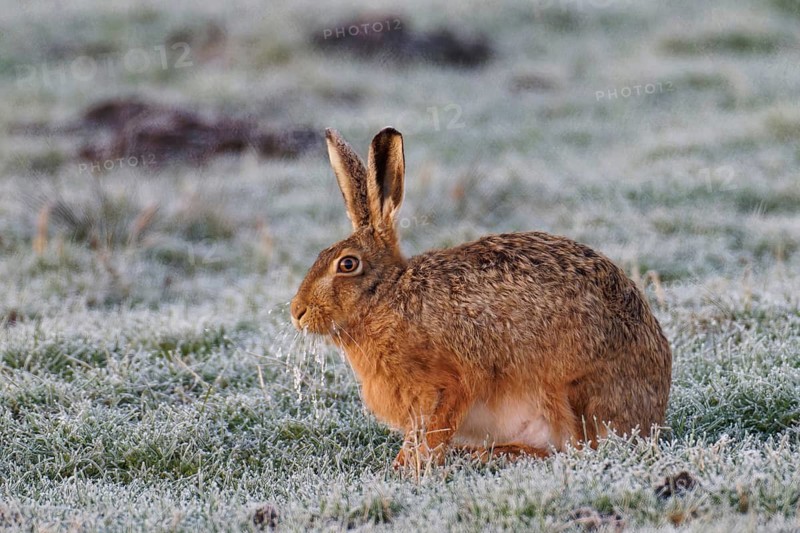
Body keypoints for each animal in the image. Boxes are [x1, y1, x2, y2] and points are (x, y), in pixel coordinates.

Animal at [290, 127, 672, 467]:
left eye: (348, 264)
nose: (297, 311)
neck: (388, 296)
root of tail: (653, 411)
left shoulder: (451, 381)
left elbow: (436, 431)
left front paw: (415, 471)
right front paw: (402, 465)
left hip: (569, 393)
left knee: (575, 448)